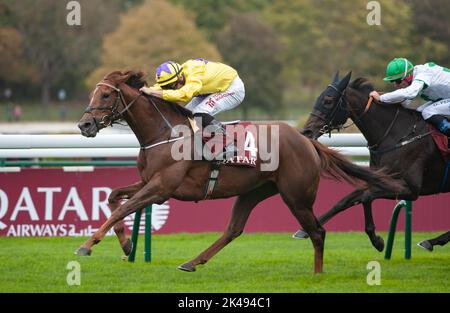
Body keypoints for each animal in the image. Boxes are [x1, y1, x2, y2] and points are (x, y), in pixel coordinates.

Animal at [75, 69, 400, 272]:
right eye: (93, 94)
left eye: (105, 96)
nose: (84, 125)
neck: (165, 133)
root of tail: (305, 139)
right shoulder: (147, 182)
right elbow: (113, 198)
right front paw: (126, 243)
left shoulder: (161, 188)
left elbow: (123, 207)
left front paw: (87, 245)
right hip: (254, 191)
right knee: (234, 229)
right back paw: (192, 262)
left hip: (296, 196)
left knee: (317, 232)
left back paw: (317, 275)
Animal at [298, 71, 448, 251]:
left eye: (328, 100)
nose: (306, 131)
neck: (397, 135)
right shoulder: (378, 178)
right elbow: (346, 200)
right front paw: (304, 230)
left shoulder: (410, 189)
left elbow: (366, 197)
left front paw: (377, 240)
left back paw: (431, 241)